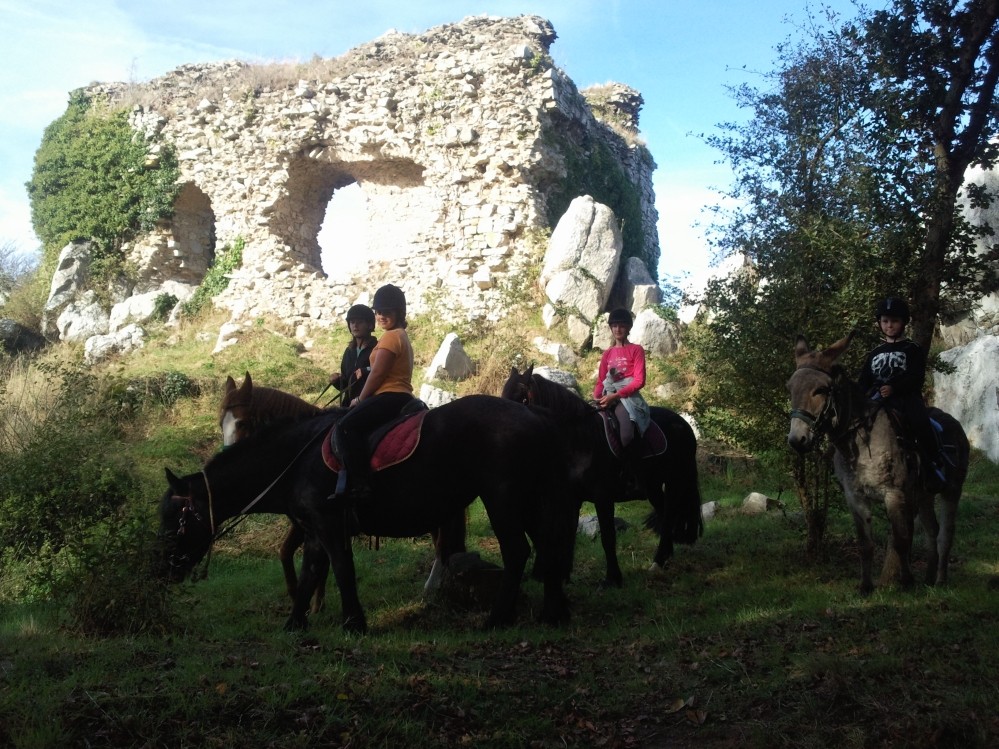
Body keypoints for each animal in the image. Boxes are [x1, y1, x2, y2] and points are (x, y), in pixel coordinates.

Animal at [157, 394, 580, 636]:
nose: (163, 571)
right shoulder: (314, 530)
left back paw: (498, 618)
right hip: (530, 500)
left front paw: (354, 623)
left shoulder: (329, 525)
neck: (296, 460)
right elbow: (311, 573)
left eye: (175, 518)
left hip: (503, 499)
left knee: (517, 552)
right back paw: (553, 613)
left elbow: (343, 569)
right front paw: (296, 623)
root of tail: (536, 416)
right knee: (547, 548)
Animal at [500, 366, 704, 588]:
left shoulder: (603, 498)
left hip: (676, 481)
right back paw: (664, 558)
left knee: (668, 517)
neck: (581, 441)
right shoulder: (574, 499)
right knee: (664, 512)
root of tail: (682, 423)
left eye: (521, 399)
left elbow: (607, 537)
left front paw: (612, 578)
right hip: (654, 487)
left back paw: (658, 560)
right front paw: (564, 576)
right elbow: (570, 534)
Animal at [788, 336, 968, 592]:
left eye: (820, 389)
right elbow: (865, 543)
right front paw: (866, 586)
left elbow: (901, 540)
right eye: (790, 388)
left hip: (952, 490)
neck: (862, 440)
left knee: (945, 534)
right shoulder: (856, 497)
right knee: (932, 530)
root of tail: (955, 423)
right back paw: (929, 578)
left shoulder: (894, 494)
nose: (797, 440)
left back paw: (941, 579)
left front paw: (906, 582)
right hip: (924, 495)